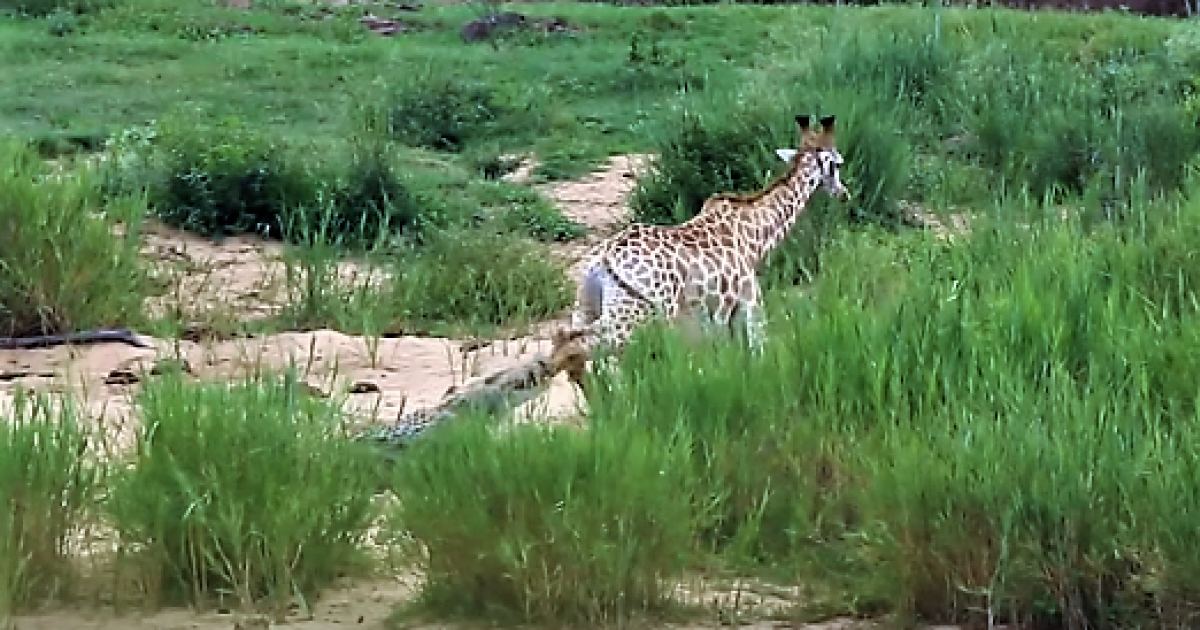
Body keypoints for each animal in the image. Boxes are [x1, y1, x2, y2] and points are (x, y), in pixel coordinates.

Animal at [566, 112, 849, 388]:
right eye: (837, 164)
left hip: (587, 306)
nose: (843, 193)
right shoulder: (749, 300)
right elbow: (757, 350)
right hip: (634, 314)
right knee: (592, 353)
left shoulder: (716, 316)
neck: (756, 234)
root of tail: (601, 261)